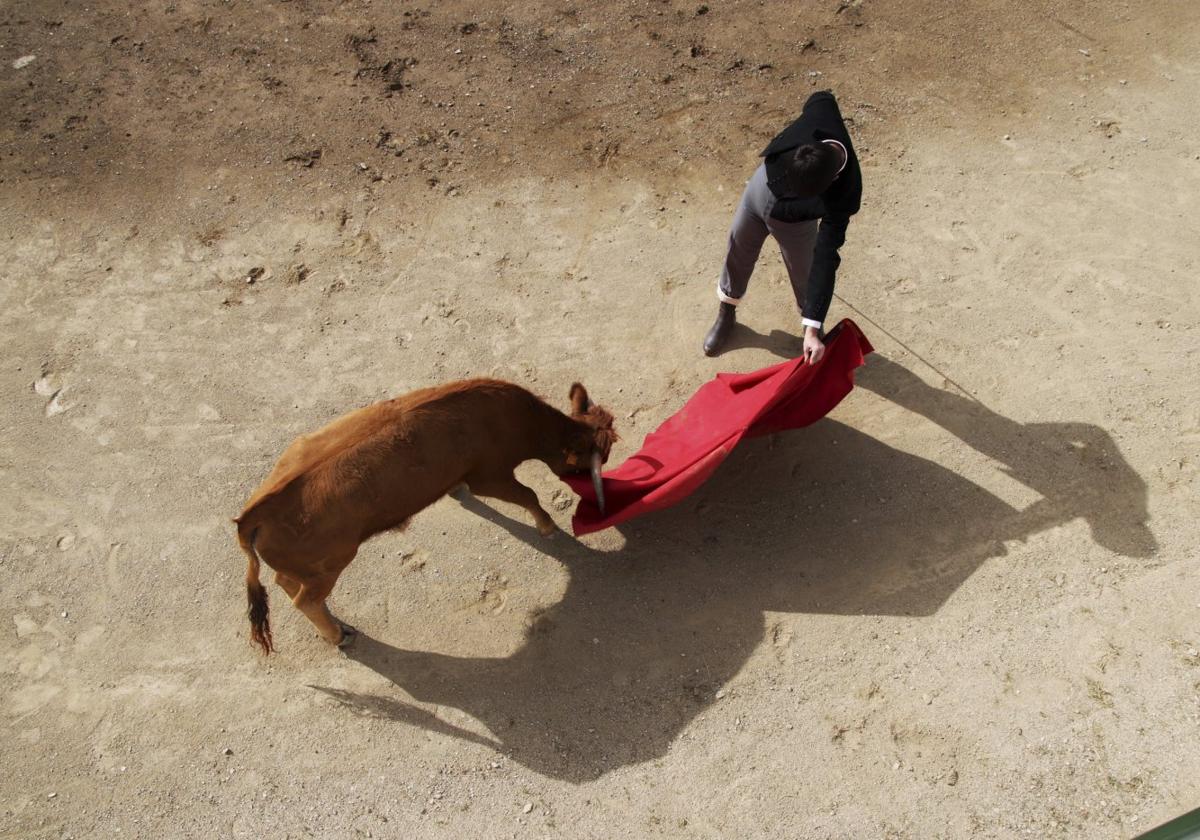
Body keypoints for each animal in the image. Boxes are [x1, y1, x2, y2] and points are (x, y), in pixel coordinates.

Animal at [231, 376, 619, 652]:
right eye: (582, 468)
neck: (517, 418)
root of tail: (254, 513)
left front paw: (455, 492)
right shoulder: (490, 477)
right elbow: (529, 495)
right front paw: (548, 526)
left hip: (309, 567)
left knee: (285, 583)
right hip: (331, 564)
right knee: (306, 599)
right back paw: (340, 636)